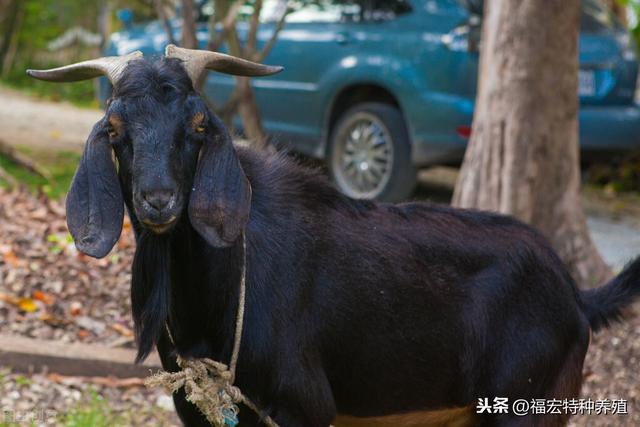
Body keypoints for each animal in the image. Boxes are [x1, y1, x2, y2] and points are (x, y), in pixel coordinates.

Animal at [27, 48, 640, 426]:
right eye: (115, 128)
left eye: (199, 125)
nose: (159, 201)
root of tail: (576, 295)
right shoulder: (198, 407)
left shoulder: (305, 406)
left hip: (526, 403)